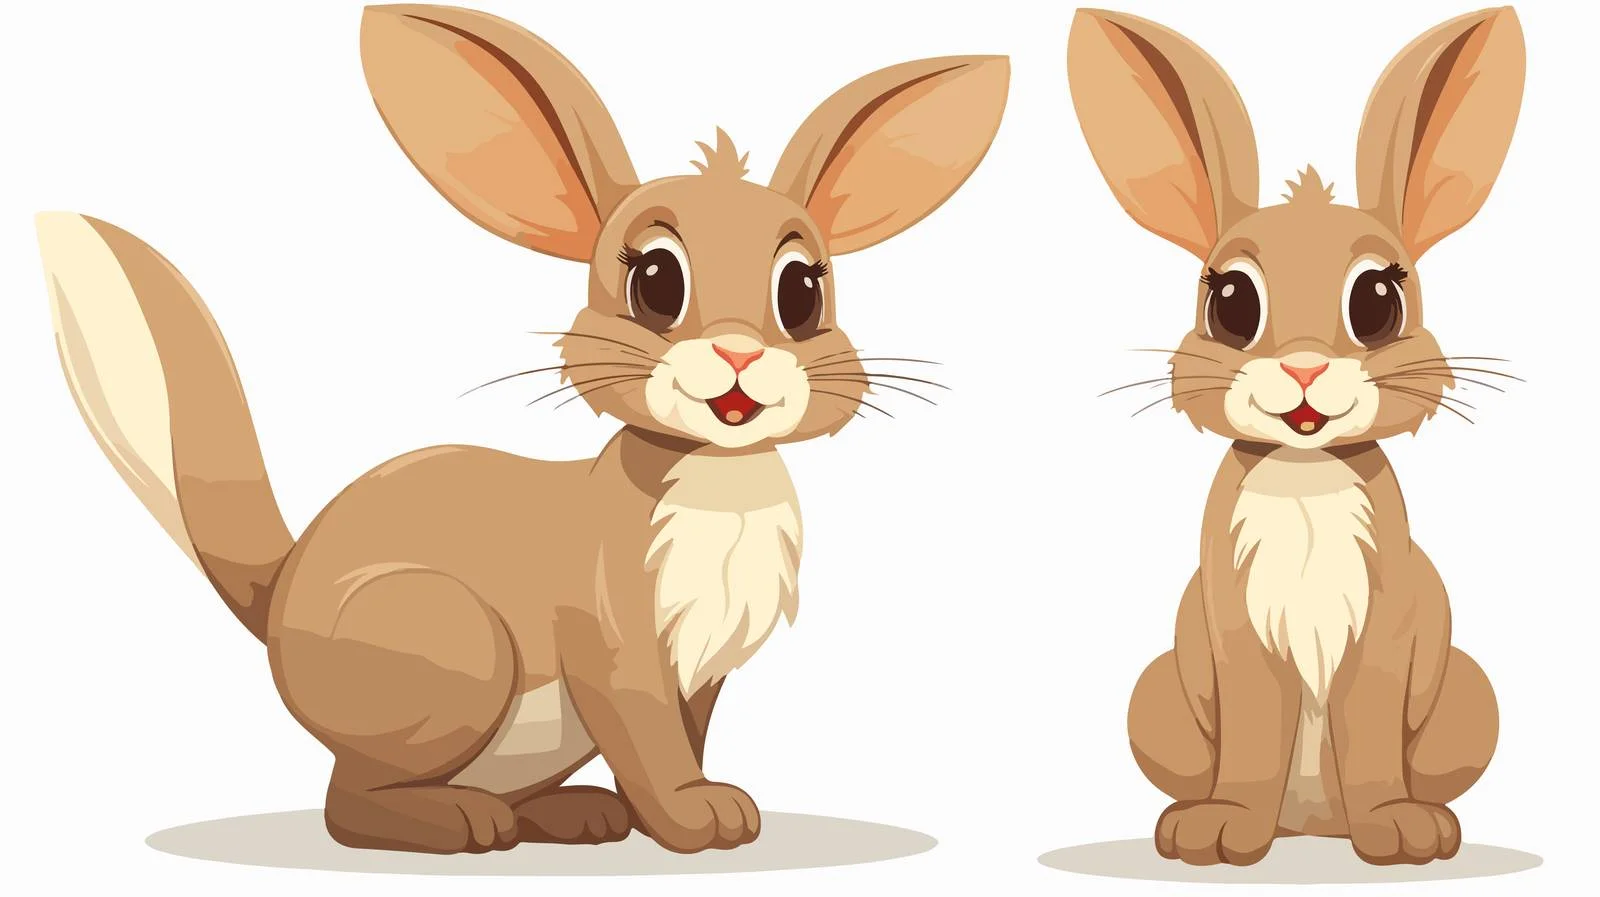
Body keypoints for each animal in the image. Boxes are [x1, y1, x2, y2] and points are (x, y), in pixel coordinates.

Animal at [35, 3, 1007, 855]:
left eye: (802, 290)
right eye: (656, 280)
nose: (738, 355)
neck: (714, 484)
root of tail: (277, 594)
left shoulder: (703, 665)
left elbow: (686, 736)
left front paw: (696, 808)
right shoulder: (618, 642)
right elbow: (650, 737)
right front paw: (695, 821)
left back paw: (570, 815)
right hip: (452, 646)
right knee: (348, 798)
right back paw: (460, 823)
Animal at [1066, 6, 1523, 867]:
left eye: (1377, 299)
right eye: (1231, 302)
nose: (1304, 369)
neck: (1304, 473)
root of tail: (1310, 825)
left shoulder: (1383, 633)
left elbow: (1370, 732)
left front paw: (1398, 831)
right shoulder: (1239, 636)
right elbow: (1251, 735)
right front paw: (1220, 831)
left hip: (1470, 697)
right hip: (1155, 696)